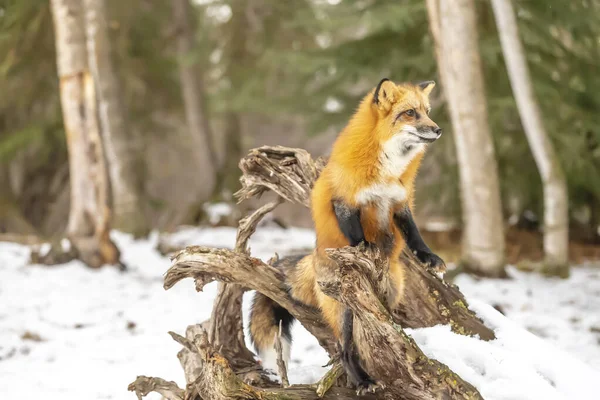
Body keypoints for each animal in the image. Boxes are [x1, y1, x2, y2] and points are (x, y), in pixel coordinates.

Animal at [248, 79, 446, 394]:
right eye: (410, 113)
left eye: (427, 111)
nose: (438, 129)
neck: (387, 169)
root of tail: (315, 257)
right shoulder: (344, 202)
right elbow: (356, 236)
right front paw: (363, 251)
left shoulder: (399, 202)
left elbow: (413, 232)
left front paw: (427, 256)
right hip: (343, 311)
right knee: (343, 349)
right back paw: (362, 381)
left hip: (390, 293)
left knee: (379, 329)